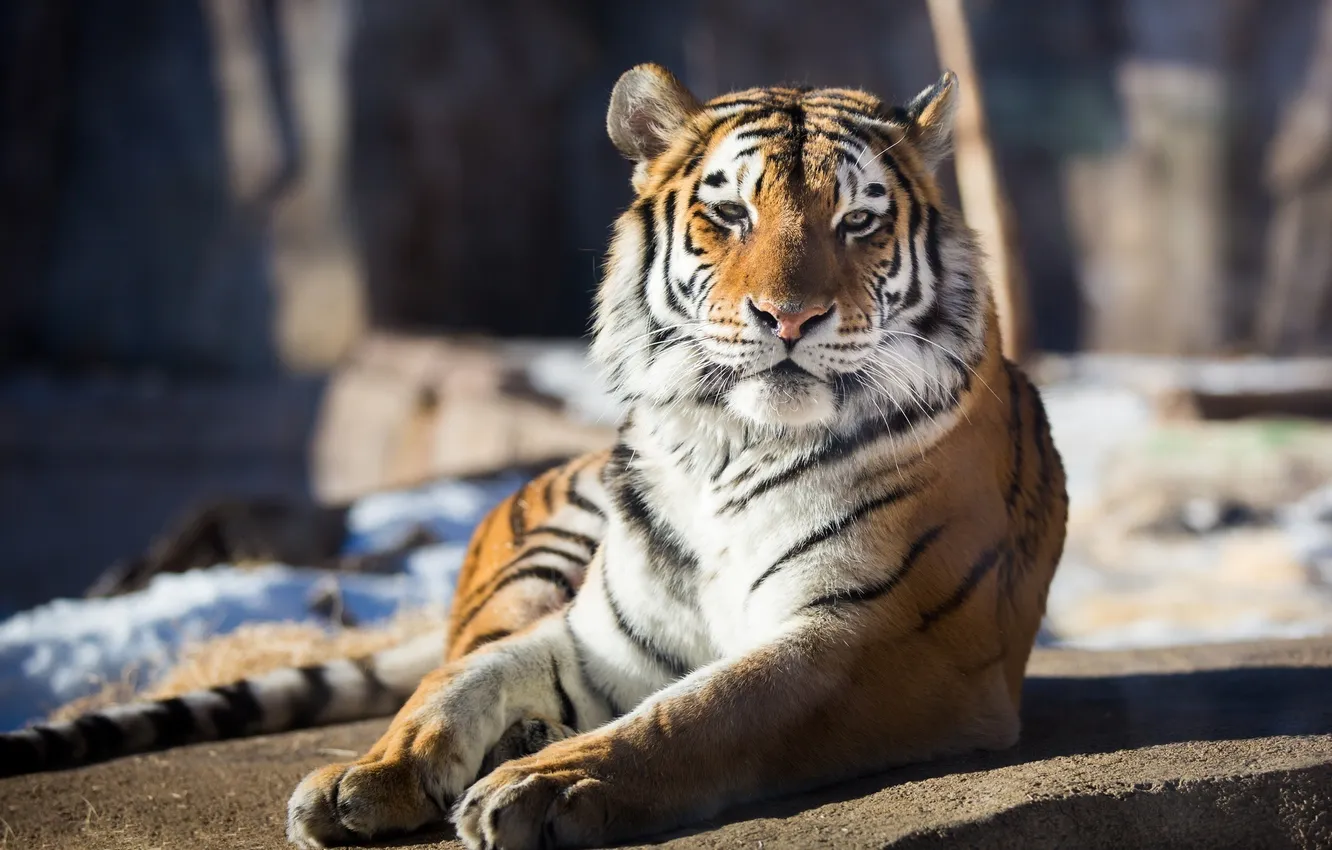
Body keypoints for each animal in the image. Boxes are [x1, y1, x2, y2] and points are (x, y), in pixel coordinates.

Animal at [0, 64, 1067, 850]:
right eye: (729, 216)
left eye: (860, 221)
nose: (789, 318)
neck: (730, 448)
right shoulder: (606, 636)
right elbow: (463, 682)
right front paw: (366, 776)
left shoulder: (870, 638)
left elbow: (704, 708)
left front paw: (550, 786)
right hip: (551, 542)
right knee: (453, 652)